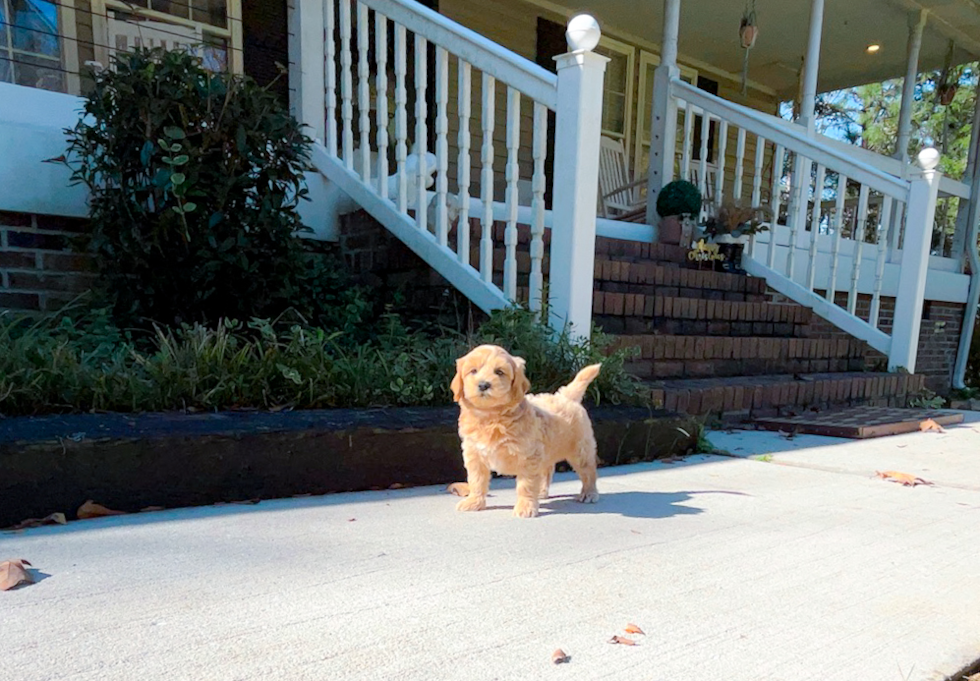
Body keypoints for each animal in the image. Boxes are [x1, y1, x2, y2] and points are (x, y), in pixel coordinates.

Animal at [450, 342, 600, 516]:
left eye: (499, 372)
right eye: (473, 371)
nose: (483, 385)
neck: (491, 417)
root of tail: (566, 396)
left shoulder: (528, 456)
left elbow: (526, 484)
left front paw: (525, 507)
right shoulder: (474, 454)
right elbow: (476, 480)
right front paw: (474, 502)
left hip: (580, 450)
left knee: (588, 471)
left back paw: (589, 493)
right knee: (546, 470)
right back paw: (541, 492)